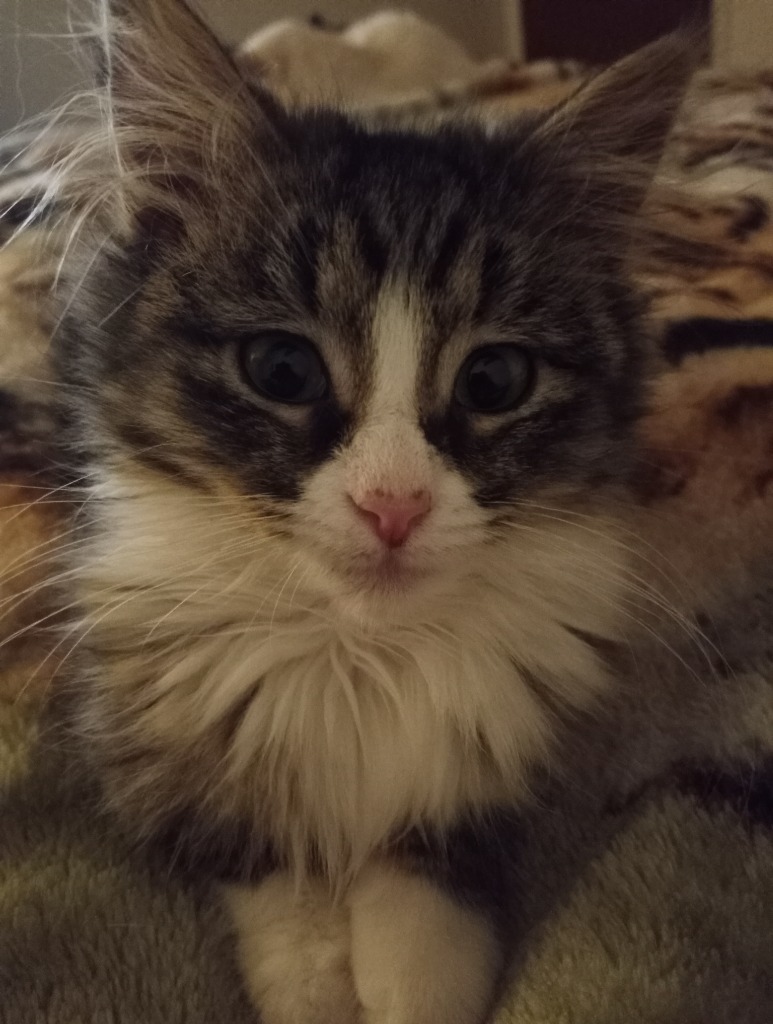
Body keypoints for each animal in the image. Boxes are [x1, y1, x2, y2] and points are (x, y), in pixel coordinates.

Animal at [45, 4, 700, 1019]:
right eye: (282, 369)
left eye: (494, 381)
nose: (393, 505)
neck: (361, 659)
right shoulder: (162, 758)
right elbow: (288, 908)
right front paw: (320, 984)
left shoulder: (488, 789)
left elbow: (425, 931)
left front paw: (405, 985)